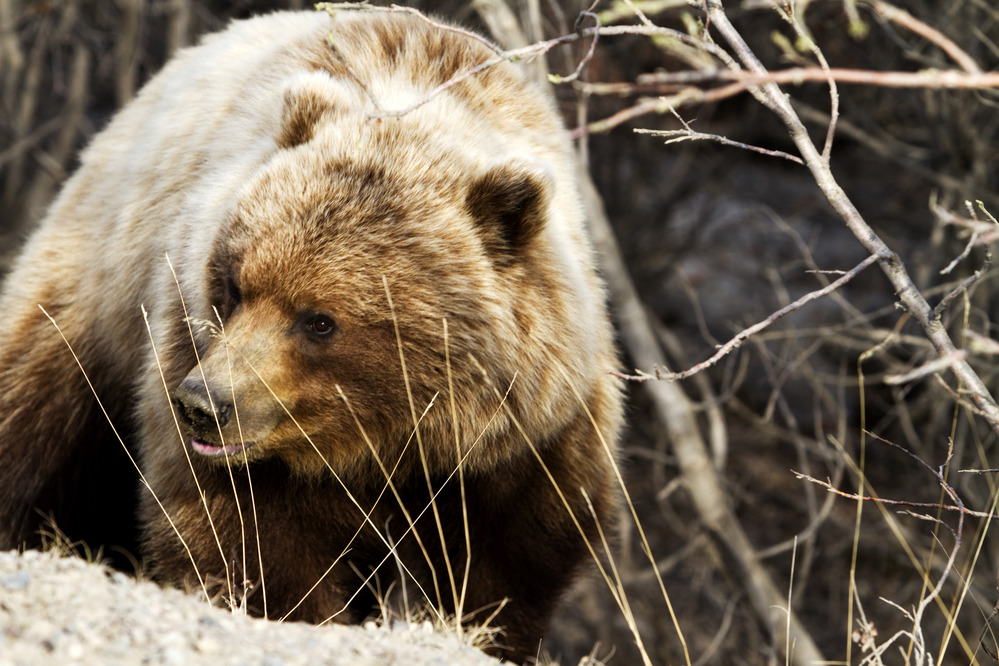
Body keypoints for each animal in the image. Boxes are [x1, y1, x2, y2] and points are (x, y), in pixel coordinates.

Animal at [0, 8, 622, 662]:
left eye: (319, 319)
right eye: (235, 285)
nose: (204, 404)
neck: (388, 438)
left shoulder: (526, 436)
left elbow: (510, 557)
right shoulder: (202, 362)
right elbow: (247, 530)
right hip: (96, 296)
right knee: (37, 422)